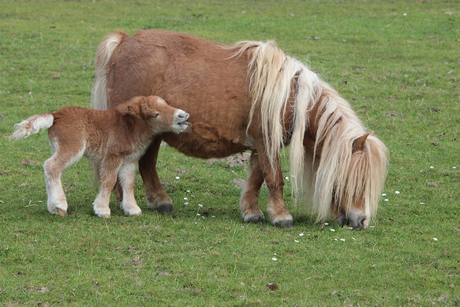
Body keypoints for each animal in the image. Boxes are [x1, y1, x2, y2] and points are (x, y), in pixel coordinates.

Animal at [10, 96, 190, 219]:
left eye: (166, 103)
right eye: (155, 114)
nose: (183, 116)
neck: (130, 129)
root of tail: (55, 115)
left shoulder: (129, 161)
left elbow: (129, 183)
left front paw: (132, 209)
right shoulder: (112, 155)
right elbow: (109, 180)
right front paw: (102, 209)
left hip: (57, 147)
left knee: (52, 170)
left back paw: (53, 208)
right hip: (72, 146)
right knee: (51, 166)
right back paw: (61, 205)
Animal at [93, 30, 388, 230]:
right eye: (355, 180)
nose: (361, 220)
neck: (290, 96)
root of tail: (124, 40)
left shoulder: (260, 145)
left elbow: (256, 178)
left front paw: (252, 212)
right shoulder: (267, 141)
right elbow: (275, 179)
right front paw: (281, 216)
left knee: (144, 166)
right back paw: (135, 201)